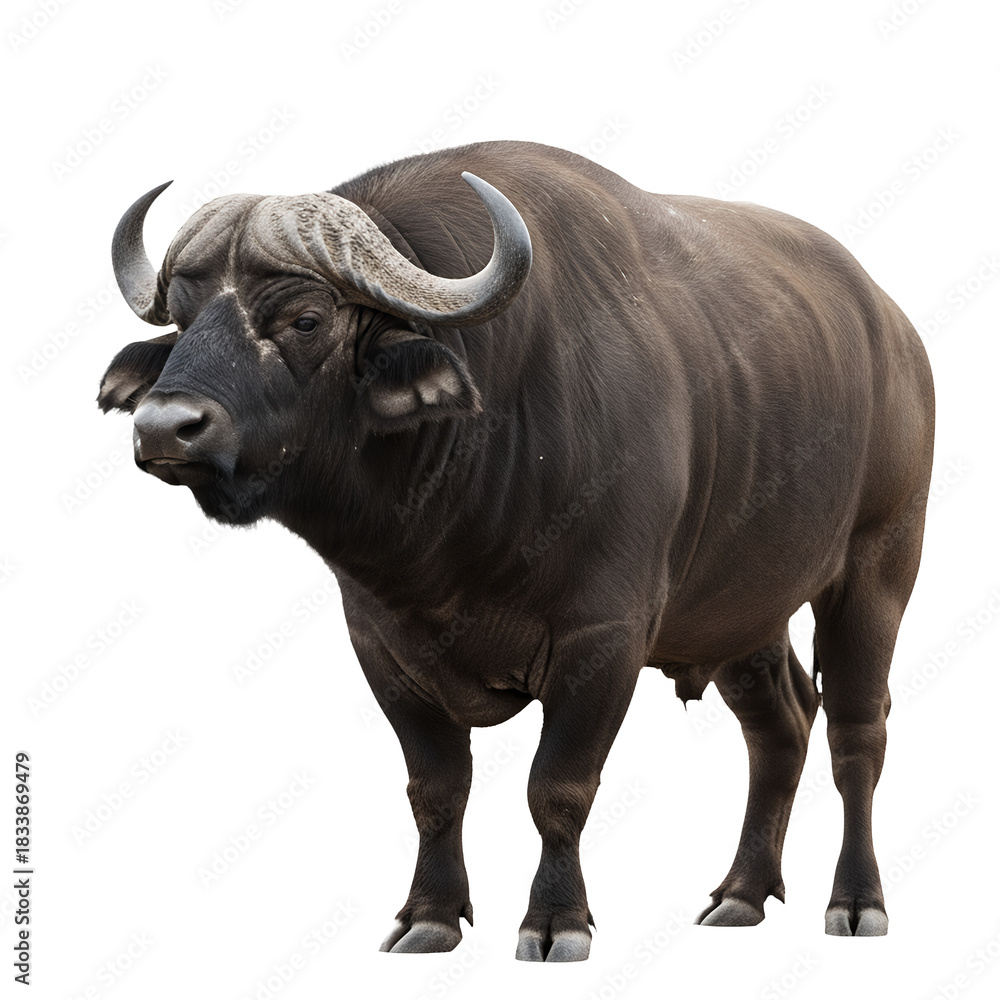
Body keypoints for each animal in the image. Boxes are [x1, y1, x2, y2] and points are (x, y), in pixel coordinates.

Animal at [98, 140, 934, 961]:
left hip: (878, 571)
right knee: (781, 724)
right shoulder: (381, 646)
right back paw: (741, 894)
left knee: (856, 732)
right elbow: (436, 790)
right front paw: (430, 915)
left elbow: (557, 787)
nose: (165, 427)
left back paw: (856, 902)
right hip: (743, 613)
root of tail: (897, 333)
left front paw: (557, 921)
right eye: (182, 318)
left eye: (306, 318)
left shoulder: (605, 640)